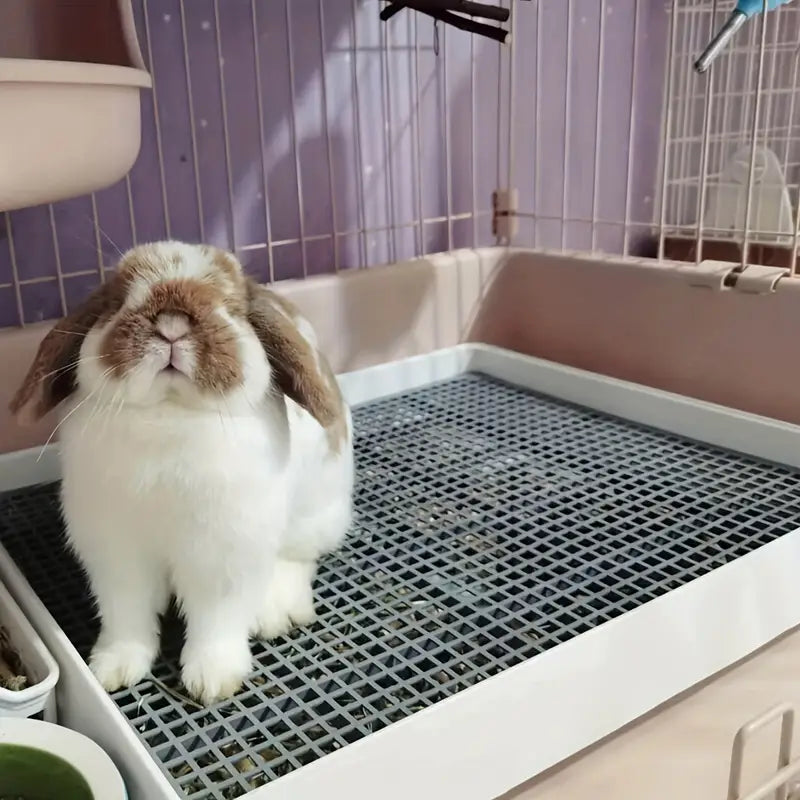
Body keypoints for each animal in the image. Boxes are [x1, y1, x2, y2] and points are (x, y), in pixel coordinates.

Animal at [9, 241, 353, 705]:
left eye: (229, 306)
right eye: (118, 301)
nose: (171, 323)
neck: (168, 412)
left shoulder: (221, 559)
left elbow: (216, 622)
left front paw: (212, 681)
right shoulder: (117, 557)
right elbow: (127, 616)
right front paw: (114, 669)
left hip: (313, 515)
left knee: (297, 559)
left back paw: (275, 613)